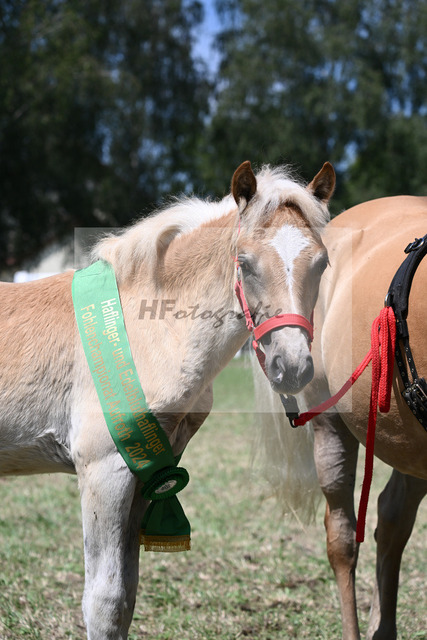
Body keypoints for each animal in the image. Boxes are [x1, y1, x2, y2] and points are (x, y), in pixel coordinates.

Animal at [0, 159, 335, 640]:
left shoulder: (149, 469)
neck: (146, 329)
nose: (292, 366)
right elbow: (104, 600)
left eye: (321, 263)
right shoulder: (103, 470)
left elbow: (126, 595)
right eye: (245, 262)